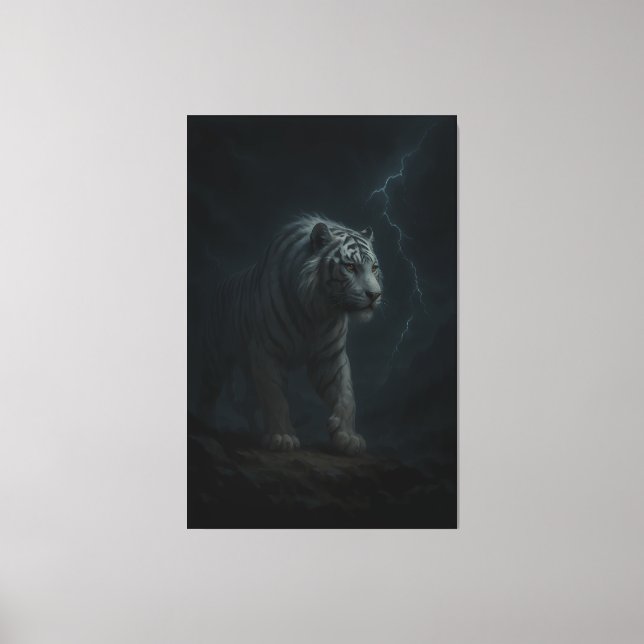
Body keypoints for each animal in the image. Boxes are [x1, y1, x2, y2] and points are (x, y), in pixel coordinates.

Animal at [201, 215, 383, 455]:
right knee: (208, 394)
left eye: (374, 267)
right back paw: (208, 427)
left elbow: (346, 393)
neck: (317, 311)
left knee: (249, 403)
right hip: (215, 359)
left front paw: (347, 436)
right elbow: (275, 397)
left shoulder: (330, 356)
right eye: (350, 266)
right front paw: (282, 437)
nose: (375, 295)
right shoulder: (267, 352)